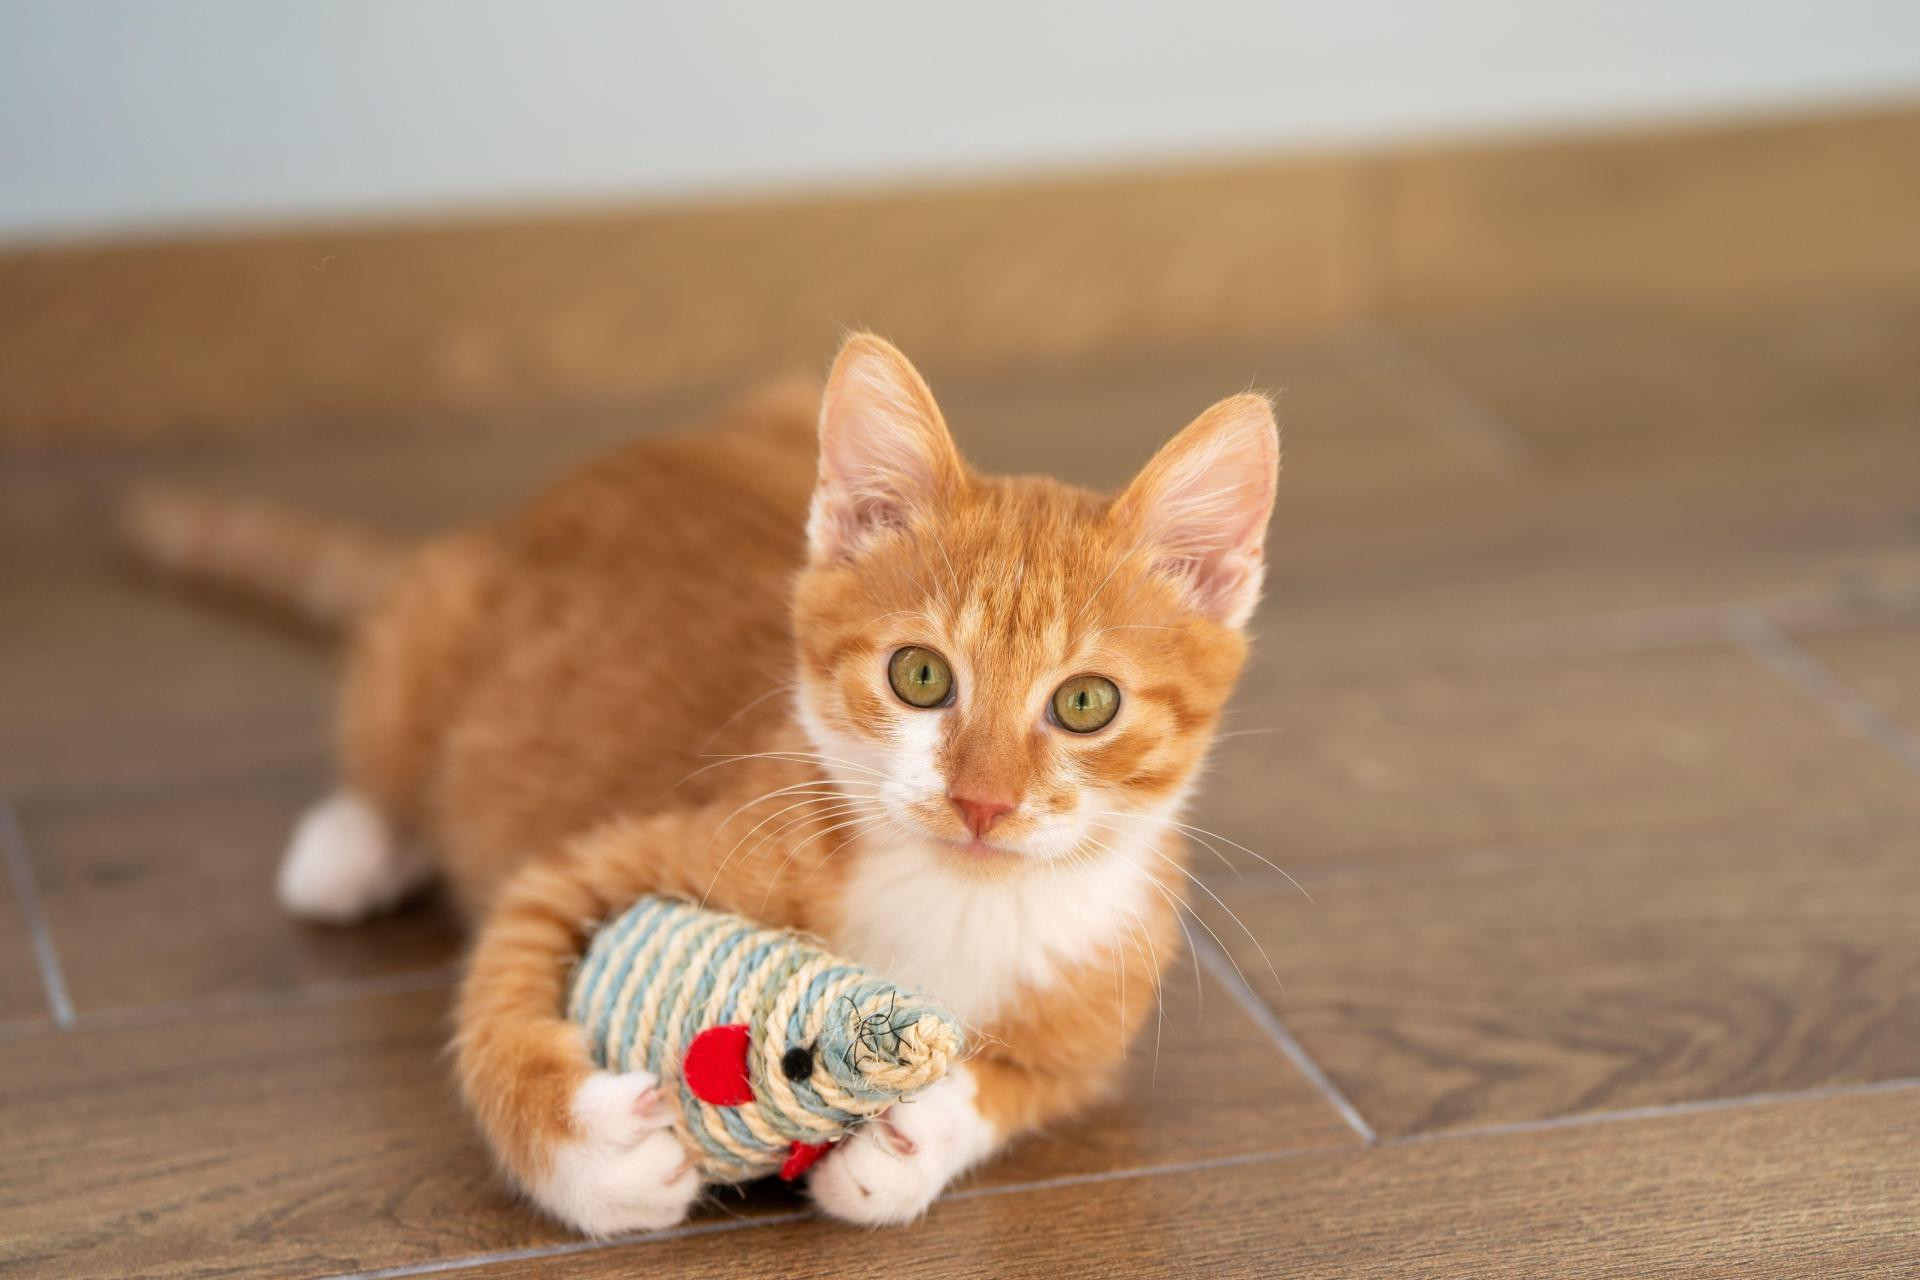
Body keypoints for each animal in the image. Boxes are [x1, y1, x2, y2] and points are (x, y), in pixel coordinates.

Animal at [125, 333, 1279, 1236]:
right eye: (920, 676)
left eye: (1085, 703)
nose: (983, 802)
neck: (960, 898)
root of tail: (537, 503)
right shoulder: (629, 849)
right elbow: (504, 976)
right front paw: (583, 1151)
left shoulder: (1098, 1012)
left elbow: (1020, 1088)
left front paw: (911, 1141)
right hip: (431, 627)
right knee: (389, 743)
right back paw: (349, 847)